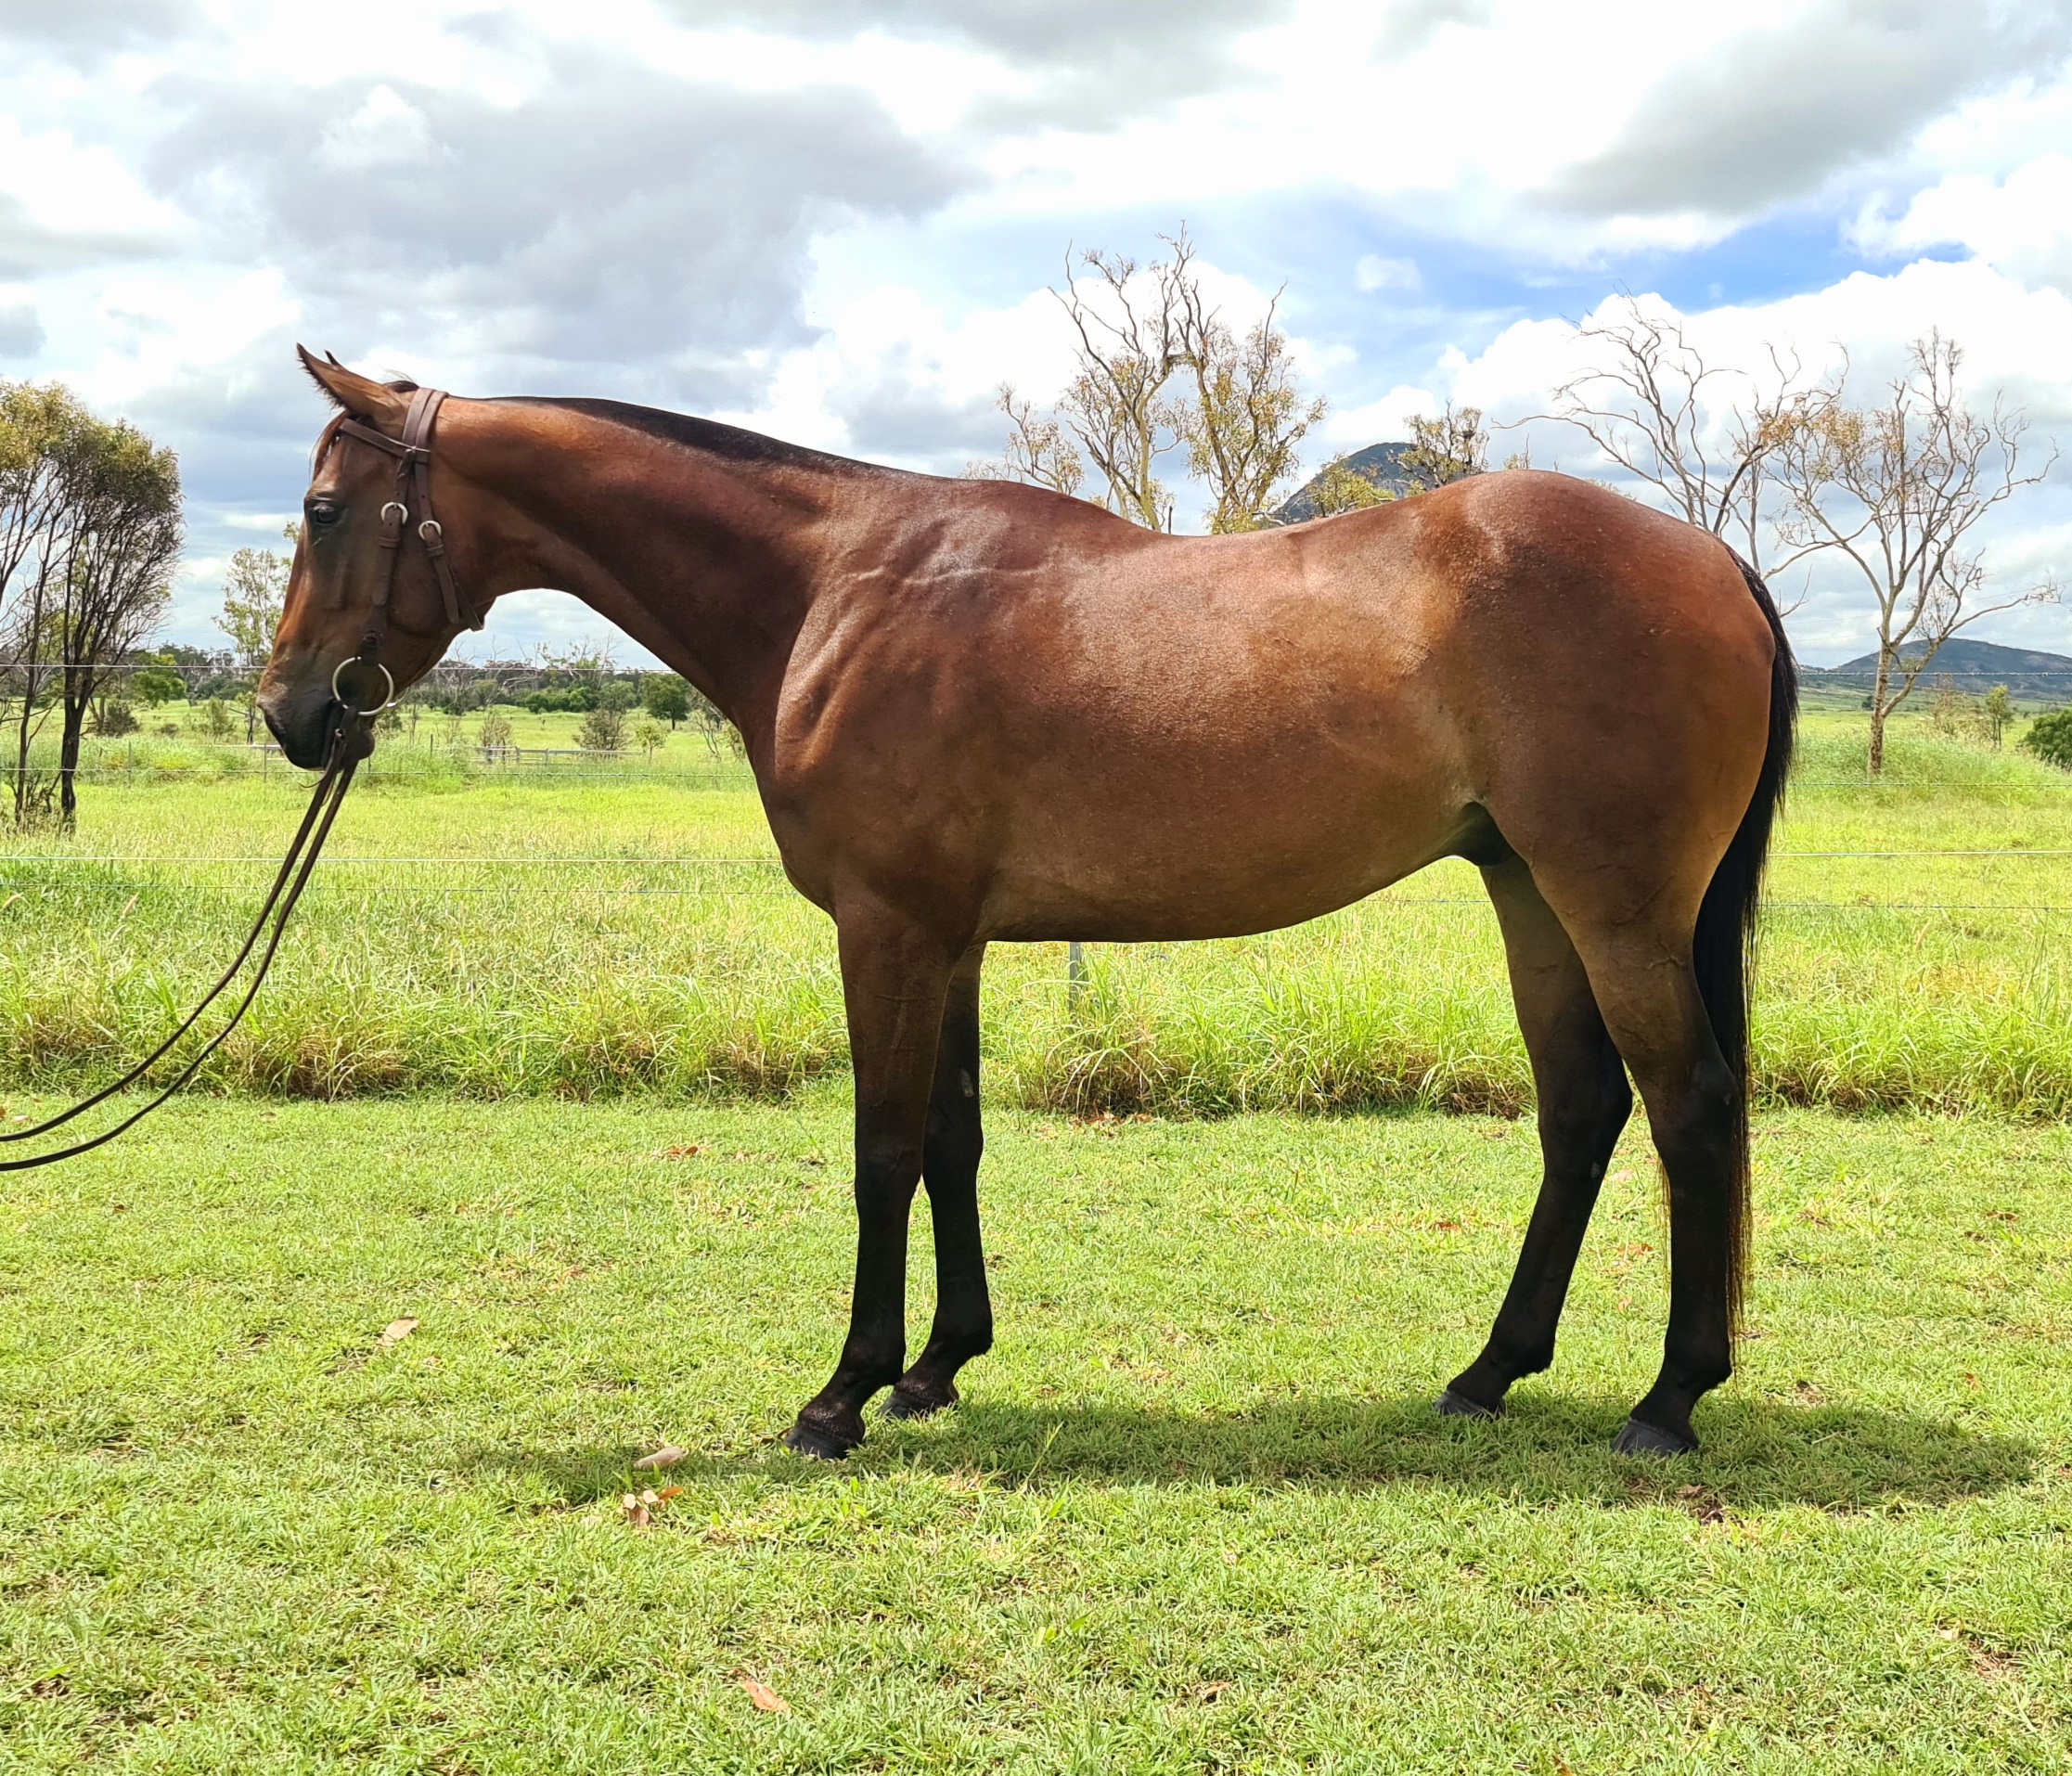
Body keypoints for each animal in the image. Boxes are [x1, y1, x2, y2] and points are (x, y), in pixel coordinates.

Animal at [260, 349, 1795, 1462]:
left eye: (324, 511)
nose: (289, 711)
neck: (836, 588)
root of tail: (1712, 558)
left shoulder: (885, 925)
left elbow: (882, 1147)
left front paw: (841, 1394)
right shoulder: (947, 936)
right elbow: (954, 1136)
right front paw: (940, 1365)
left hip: (1613, 906)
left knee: (1690, 1105)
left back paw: (1667, 1400)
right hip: (1530, 890)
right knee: (1584, 1111)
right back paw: (1488, 1372)